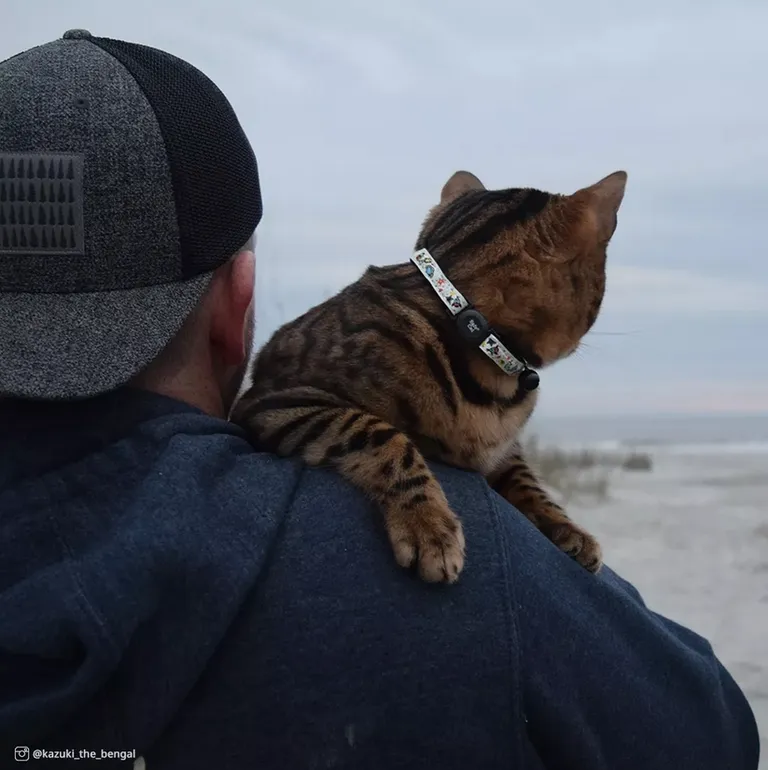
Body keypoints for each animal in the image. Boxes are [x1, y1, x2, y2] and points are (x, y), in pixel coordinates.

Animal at [232, 168, 624, 584]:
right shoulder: (275, 398)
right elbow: (380, 433)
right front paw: (428, 525)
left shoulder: (502, 452)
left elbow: (526, 479)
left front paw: (565, 525)